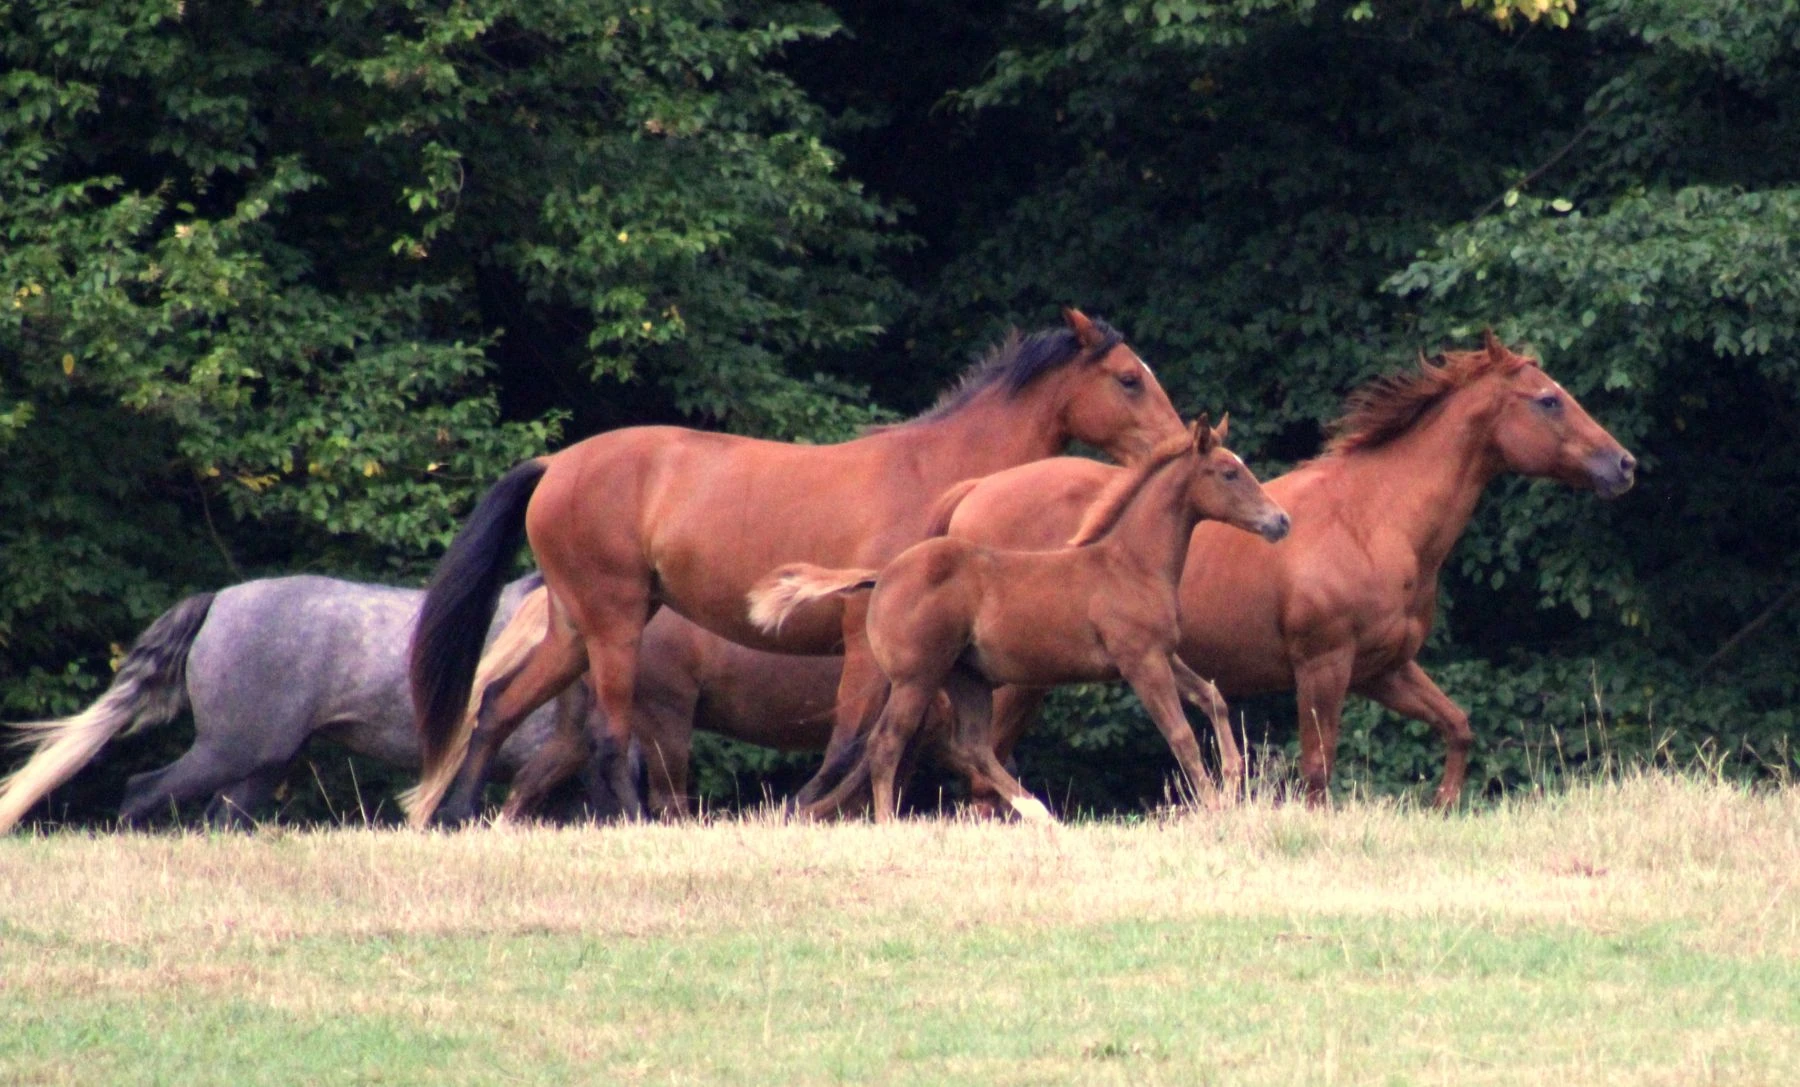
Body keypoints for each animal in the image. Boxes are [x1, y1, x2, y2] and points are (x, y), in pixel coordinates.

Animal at [412, 305, 1188, 824]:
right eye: (1128, 379)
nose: (1183, 445)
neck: (936, 476)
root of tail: (556, 465)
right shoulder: (864, 645)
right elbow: (850, 746)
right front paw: (796, 813)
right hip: (614, 624)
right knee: (606, 737)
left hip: (575, 629)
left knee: (496, 705)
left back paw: (457, 815)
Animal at [748, 421, 1296, 820]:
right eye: (1228, 472)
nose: (1281, 521)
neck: (1131, 563)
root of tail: (882, 576)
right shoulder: (1139, 662)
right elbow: (1179, 733)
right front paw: (1214, 805)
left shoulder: (1163, 653)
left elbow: (1213, 697)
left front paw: (1234, 780)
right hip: (916, 678)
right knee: (888, 745)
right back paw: (890, 826)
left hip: (967, 679)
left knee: (971, 745)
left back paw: (1039, 814)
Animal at [936, 331, 1641, 806]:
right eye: (1548, 401)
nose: (1624, 464)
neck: (1373, 518)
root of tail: (969, 494)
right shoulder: (1322, 668)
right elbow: (1317, 771)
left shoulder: (1383, 671)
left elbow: (1459, 728)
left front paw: (1442, 808)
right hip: (1015, 683)